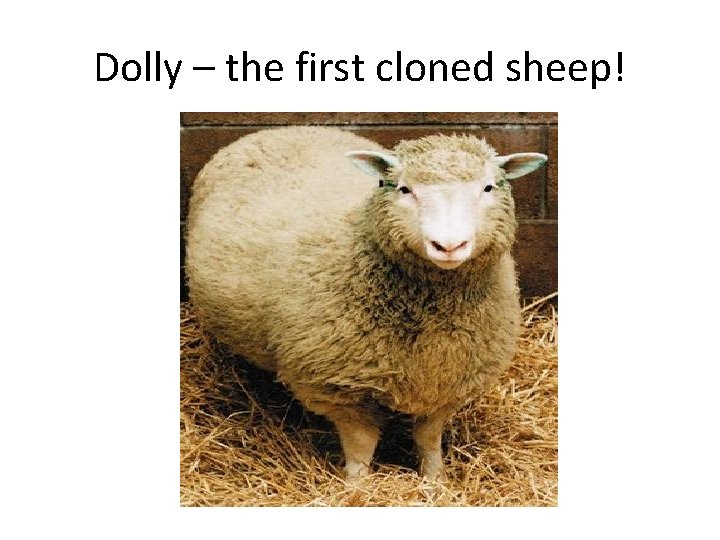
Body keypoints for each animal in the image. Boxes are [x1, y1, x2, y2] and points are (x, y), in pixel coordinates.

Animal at [185, 125, 547, 481]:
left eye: (488, 187)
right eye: (404, 189)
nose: (448, 246)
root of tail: (280, 128)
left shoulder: (447, 380)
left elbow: (428, 437)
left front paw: (435, 482)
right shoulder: (339, 387)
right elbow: (362, 444)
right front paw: (357, 485)